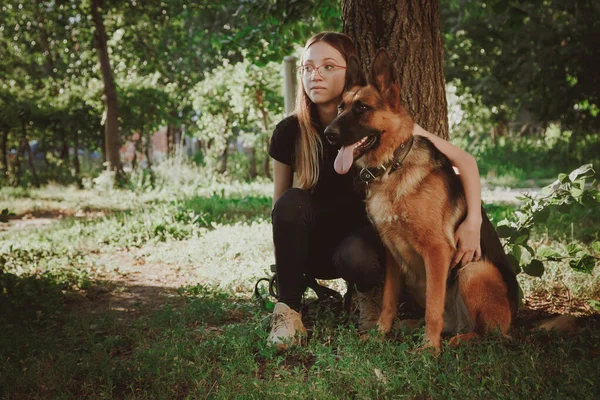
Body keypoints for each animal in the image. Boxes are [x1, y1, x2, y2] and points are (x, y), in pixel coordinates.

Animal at [324, 49, 520, 350]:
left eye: (362, 108)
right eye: (340, 108)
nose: (328, 134)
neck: (392, 167)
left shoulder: (437, 251)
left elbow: (433, 307)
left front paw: (429, 348)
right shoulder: (392, 254)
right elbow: (389, 301)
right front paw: (380, 332)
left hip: (474, 270)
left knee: (490, 332)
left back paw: (456, 340)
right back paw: (409, 327)